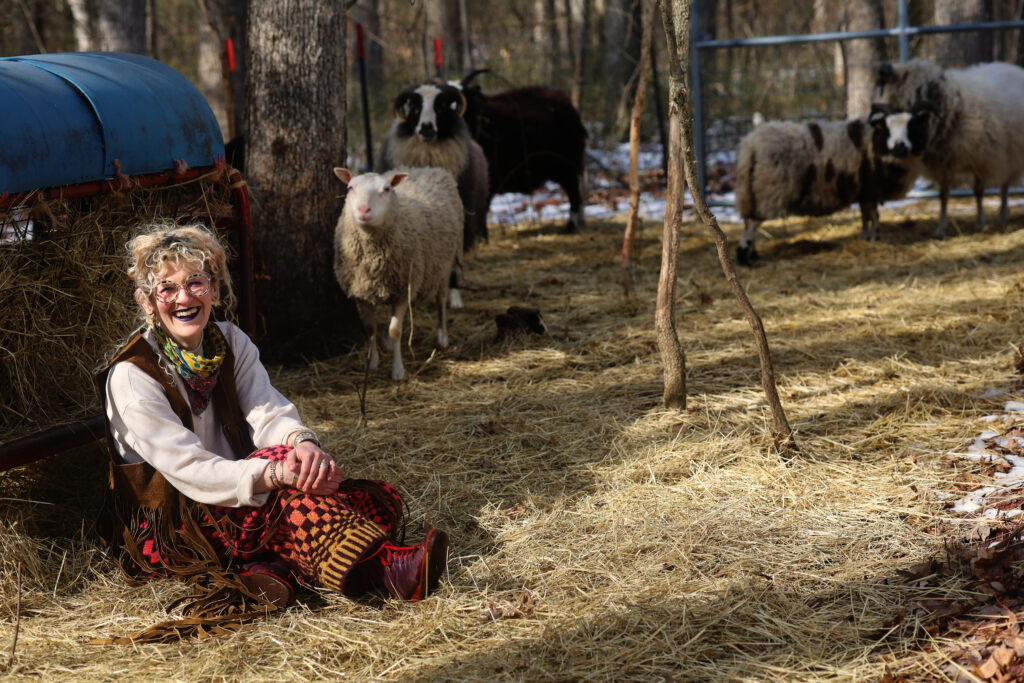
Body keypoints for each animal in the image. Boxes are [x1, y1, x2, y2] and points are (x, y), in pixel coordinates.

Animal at [333, 166, 463, 381]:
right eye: (350, 188)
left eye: (386, 189)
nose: (363, 210)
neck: (373, 259)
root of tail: (426, 168)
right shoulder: (360, 292)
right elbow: (370, 328)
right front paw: (372, 363)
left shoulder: (402, 290)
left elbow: (395, 331)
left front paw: (398, 371)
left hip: (444, 265)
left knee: (441, 300)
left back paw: (442, 337)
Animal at [456, 69, 589, 234]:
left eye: (464, 98)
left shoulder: (491, 176)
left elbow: (482, 207)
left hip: (568, 165)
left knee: (574, 194)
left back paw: (571, 226)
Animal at [734, 103, 931, 266]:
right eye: (888, 128)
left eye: (912, 127)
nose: (900, 147)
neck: (875, 141)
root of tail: (751, 144)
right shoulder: (871, 189)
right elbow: (874, 216)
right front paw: (875, 238)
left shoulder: (864, 191)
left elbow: (865, 215)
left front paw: (866, 237)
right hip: (770, 190)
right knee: (753, 222)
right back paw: (743, 256)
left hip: (750, 190)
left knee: (748, 220)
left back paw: (753, 253)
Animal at [876, 59, 1024, 237]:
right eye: (888, 125)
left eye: (912, 123)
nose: (898, 149)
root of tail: (1012, 67)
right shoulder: (944, 163)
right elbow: (943, 196)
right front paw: (941, 228)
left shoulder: (982, 159)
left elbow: (978, 192)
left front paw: (980, 222)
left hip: (1012, 154)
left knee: (1005, 185)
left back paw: (1002, 214)